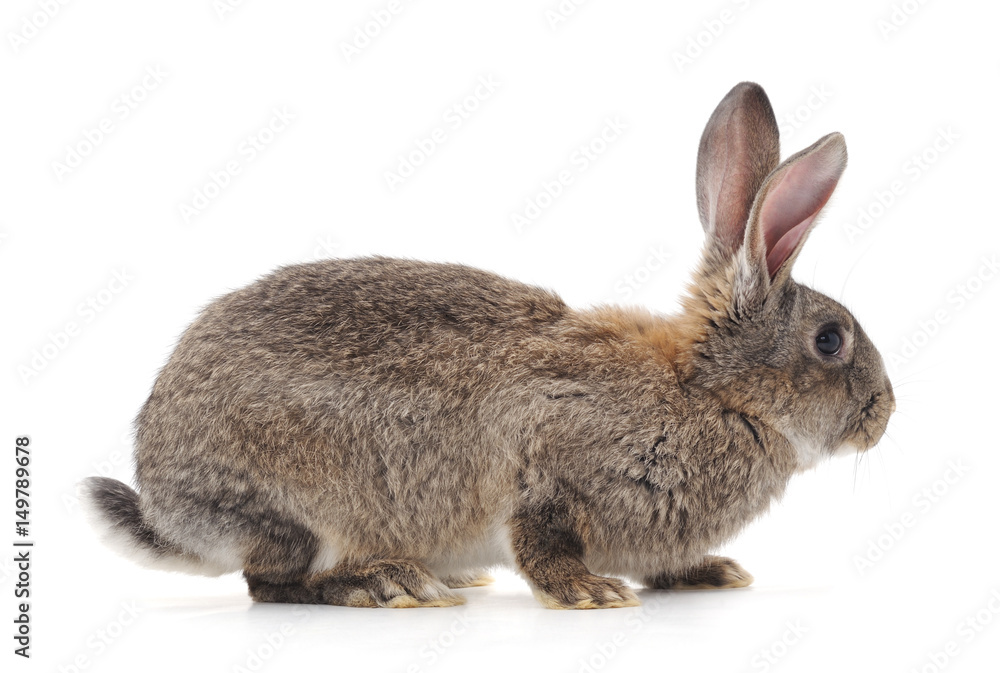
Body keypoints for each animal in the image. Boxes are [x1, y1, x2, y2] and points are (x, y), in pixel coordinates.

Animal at [80, 82, 895, 610]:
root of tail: (167, 507)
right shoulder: (551, 467)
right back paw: (387, 582)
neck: (712, 392)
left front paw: (711, 572)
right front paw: (590, 592)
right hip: (295, 515)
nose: (885, 414)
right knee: (271, 582)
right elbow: (539, 537)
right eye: (830, 341)